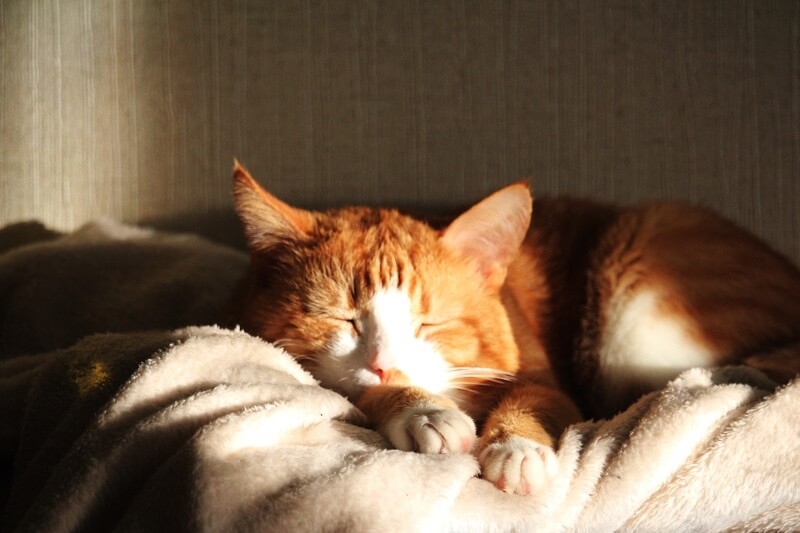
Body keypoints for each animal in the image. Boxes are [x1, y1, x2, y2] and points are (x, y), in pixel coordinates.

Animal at [228, 161, 800, 494]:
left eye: (429, 323)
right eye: (340, 317)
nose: (384, 365)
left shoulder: (550, 383)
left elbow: (532, 399)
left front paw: (516, 448)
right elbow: (354, 387)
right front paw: (425, 410)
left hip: (638, 284)